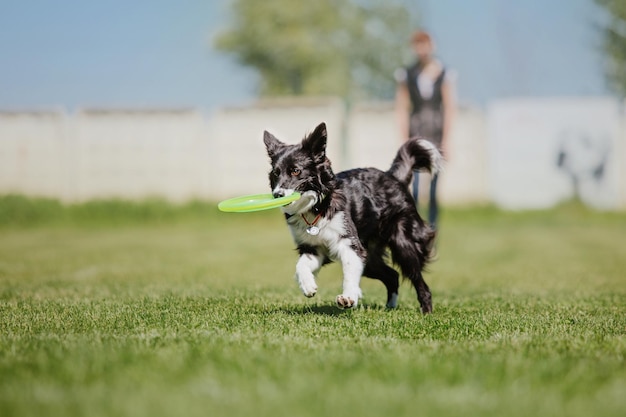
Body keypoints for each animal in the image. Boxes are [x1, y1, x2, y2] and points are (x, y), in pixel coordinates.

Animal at [264, 121, 444, 312]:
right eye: (276, 173)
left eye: (296, 171)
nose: (277, 195)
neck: (316, 207)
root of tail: (393, 176)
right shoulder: (313, 248)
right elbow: (301, 265)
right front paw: (308, 285)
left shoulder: (349, 243)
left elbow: (349, 272)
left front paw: (349, 297)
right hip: (370, 257)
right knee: (392, 275)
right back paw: (389, 307)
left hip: (403, 244)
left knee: (419, 281)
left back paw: (426, 311)